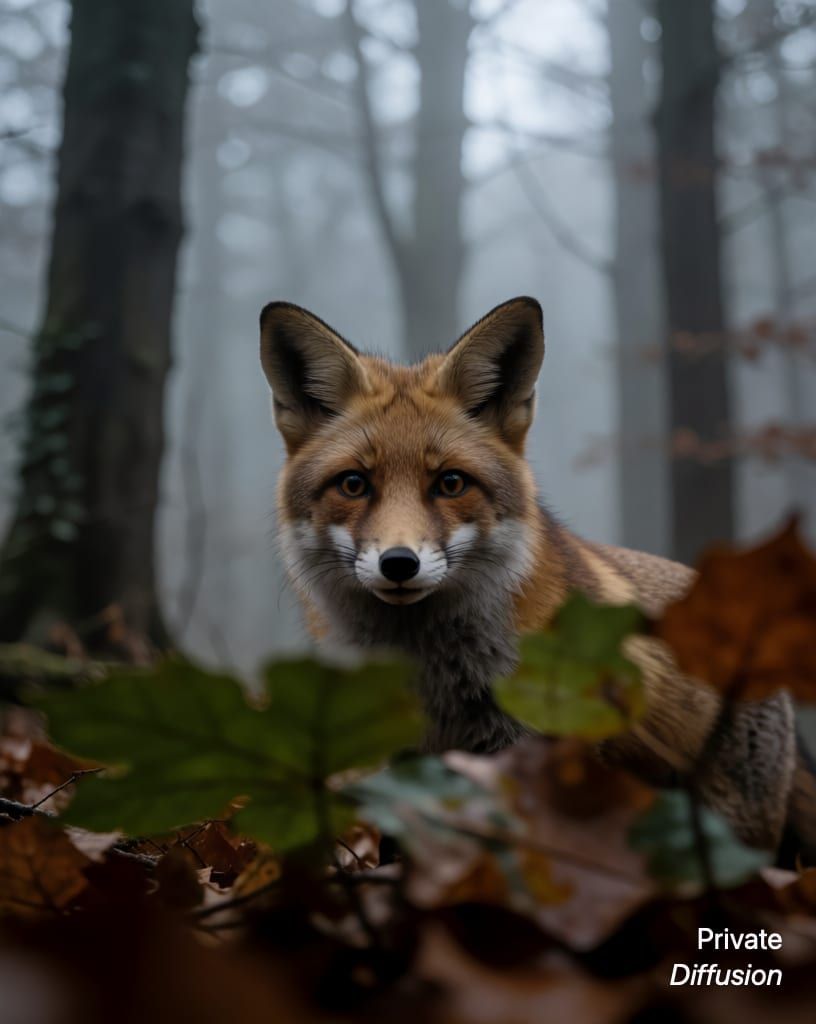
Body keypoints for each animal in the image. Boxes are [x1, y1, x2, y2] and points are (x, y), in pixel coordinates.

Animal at [259, 295, 816, 860]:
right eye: (353, 484)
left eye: (450, 483)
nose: (399, 563)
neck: (432, 672)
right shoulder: (398, 766)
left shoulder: (536, 758)